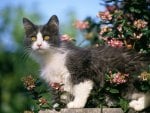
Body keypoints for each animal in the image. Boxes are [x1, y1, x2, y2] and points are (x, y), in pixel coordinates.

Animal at [22, 14, 150, 111]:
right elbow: (62, 94)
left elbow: (81, 87)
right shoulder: (56, 80)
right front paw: (57, 106)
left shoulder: (81, 69)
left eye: (47, 37)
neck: (50, 57)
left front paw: (77, 104)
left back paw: (137, 105)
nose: (39, 44)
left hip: (130, 78)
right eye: (33, 38)